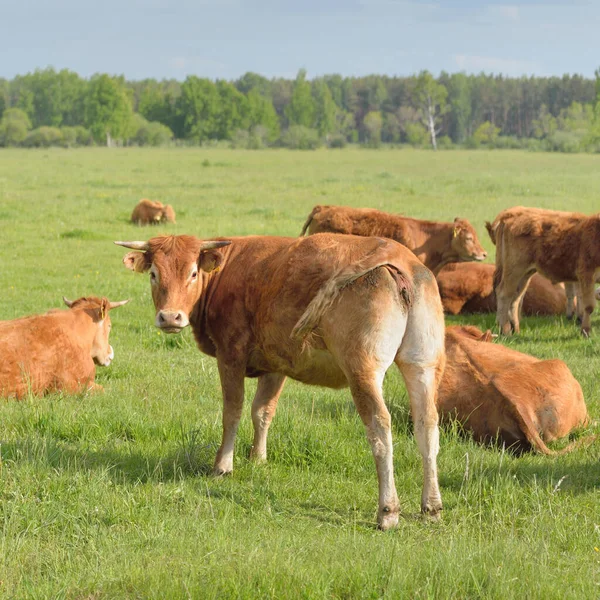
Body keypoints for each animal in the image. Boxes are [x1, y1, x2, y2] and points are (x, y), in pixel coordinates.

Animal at [116, 234, 446, 528]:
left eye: (193, 273)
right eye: (154, 274)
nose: (170, 318)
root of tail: (397, 255)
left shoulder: (230, 355)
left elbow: (232, 411)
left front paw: (223, 465)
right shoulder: (275, 365)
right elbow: (262, 411)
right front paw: (258, 459)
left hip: (363, 371)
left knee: (379, 426)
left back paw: (387, 511)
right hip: (422, 365)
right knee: (427, 426)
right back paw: (431, 506)